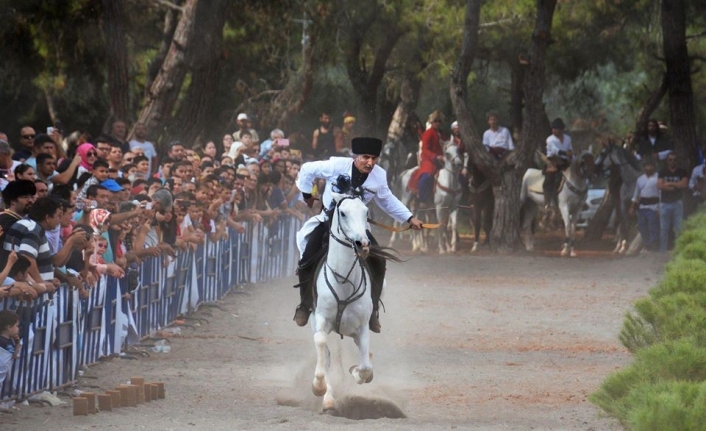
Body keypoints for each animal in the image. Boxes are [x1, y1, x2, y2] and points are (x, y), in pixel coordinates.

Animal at [310, 193, 374, 416]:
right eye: (343, 213)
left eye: (366, 212)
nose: (362, 244)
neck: (344, 282)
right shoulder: (321, 319)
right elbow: (321, 342)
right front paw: (318, 387)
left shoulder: (362, 326)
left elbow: (366, 366)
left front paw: (356, 371)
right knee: (326, 355)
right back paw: (328, 400)